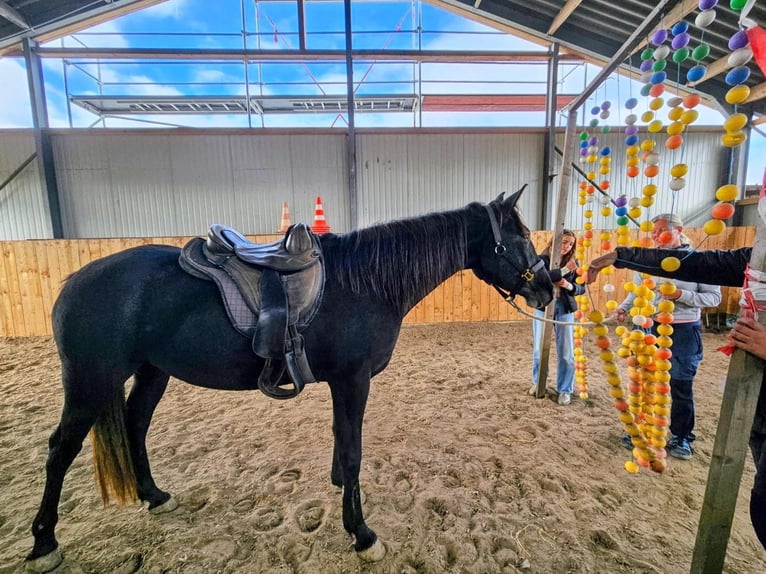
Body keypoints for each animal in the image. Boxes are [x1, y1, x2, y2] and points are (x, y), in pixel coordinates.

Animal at [25, 187, 553, 573]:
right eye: (522, 236)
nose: (550, 288)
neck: (364, 282)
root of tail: (72, 283)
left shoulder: (343, 383)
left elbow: (342, 442)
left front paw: (344, 494)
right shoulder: (353, 379)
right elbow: (354, 448)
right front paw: (362, 534)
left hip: (153, 372)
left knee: (135, 425)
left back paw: (154, 497)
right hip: (90, 382)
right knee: (59, 449)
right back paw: (44, 543)